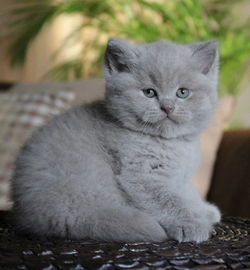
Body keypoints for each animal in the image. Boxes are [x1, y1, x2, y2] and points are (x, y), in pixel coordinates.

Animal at [12, 38, 222, 243]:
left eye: (183, 92)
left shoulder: (179, 178)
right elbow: (169, 201)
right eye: (149, 92)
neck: (171, 142)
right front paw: (192, 224)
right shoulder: (142, 177)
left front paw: (204, 210)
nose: (167, 107)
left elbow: (186, 193)